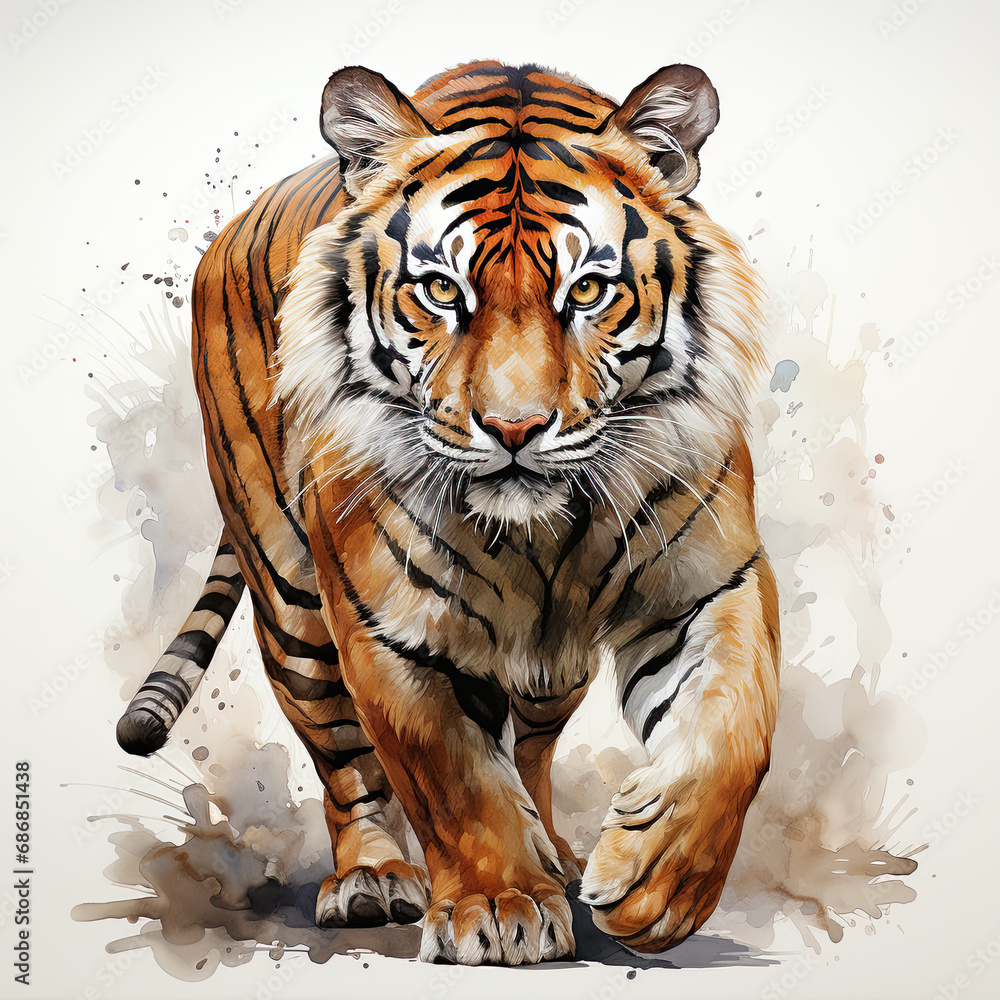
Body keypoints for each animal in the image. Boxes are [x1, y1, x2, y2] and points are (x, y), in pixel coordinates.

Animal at [116, 60, 780, 966]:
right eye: (440, 290)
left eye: (588, 291)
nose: (514, 428)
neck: (543, 532)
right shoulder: (387, 624)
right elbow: (450, 776)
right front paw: (499, 907)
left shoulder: (710, 581)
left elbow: (735, 729)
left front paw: (658, 885)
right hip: (290, 601)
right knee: (341, 751)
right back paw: (371, 878)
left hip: (552, 670)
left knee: (530, 746)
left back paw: (557, 851)